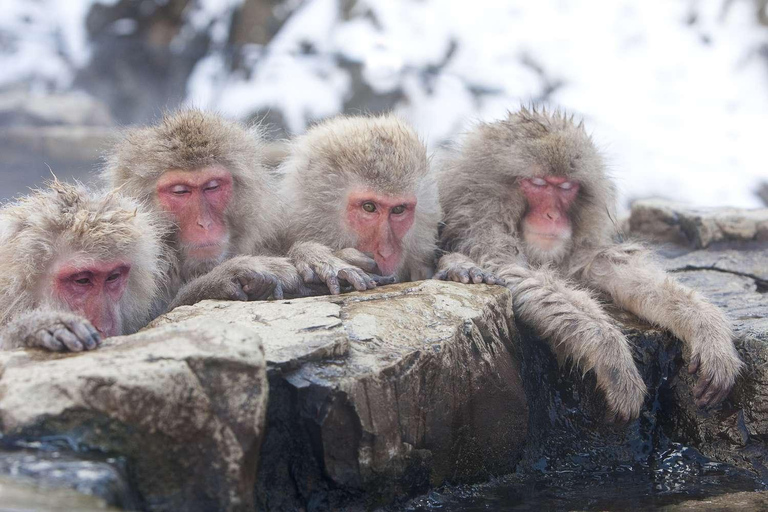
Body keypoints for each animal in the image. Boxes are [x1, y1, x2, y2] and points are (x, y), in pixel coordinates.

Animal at [438, 106, 744, 422]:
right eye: (538, 184)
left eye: (566, 187)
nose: (551, 216)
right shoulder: (481, 230)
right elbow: (508, 270)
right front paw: (610, 352)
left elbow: (609, 266)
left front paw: (706, 328)